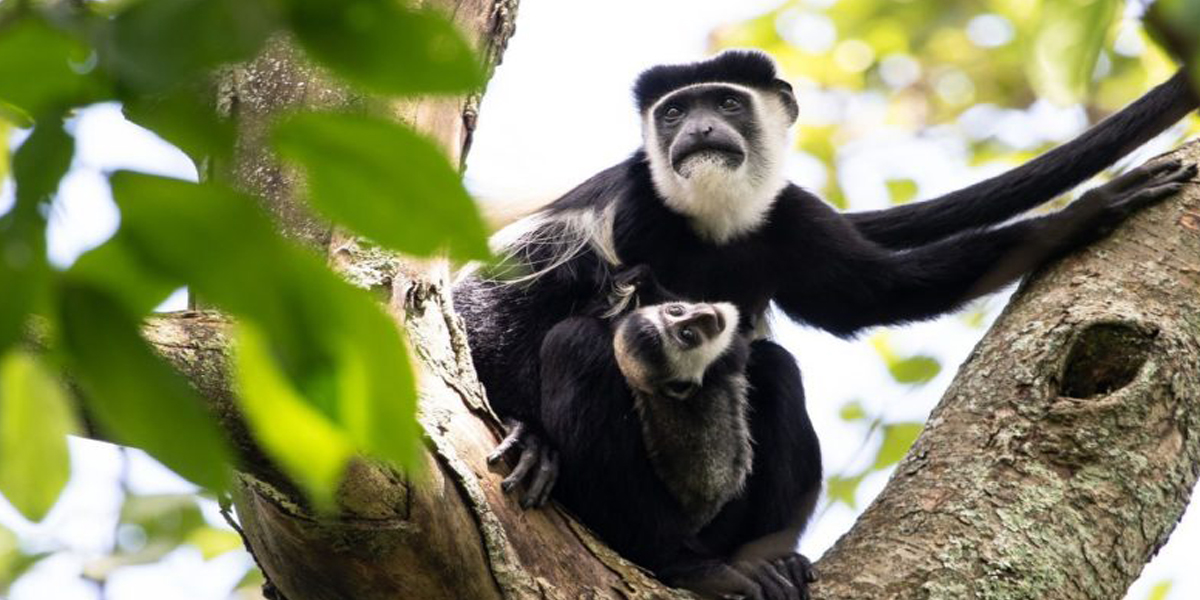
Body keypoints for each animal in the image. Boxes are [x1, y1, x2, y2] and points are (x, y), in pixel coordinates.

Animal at [453, 52, 1195, 600]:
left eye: (724, 103)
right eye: (675, 111)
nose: (698, 130)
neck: (713, 223)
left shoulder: (791, 218)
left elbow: (871, 295)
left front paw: (1089, 212)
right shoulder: (625, 206)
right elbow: (491, 302)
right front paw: (530, 438)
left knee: (775, 370)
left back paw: (770, 563)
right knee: (575, 344)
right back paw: (684, 564)